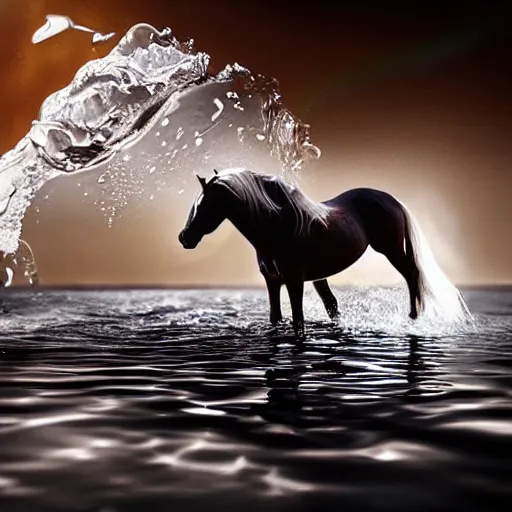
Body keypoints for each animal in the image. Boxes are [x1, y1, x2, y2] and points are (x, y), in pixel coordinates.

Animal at [178, 168, 470, 336]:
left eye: (204, 205)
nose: (184, 238)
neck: (277, 226)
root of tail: (394, 201)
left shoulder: (295, 281)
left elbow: (298, 320)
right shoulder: (272, 282)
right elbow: (276, 318)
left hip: (391, 250)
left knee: (412, 275)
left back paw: (413, 317)